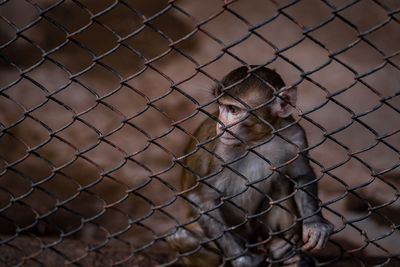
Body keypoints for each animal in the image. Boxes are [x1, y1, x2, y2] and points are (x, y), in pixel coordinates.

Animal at [166, 66, 334, 266]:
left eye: (233, 109)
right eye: (221, 106)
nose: (220, 126)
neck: (257, 140)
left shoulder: (295, 136)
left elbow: (301, 175)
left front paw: (315, 224)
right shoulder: (219, 150)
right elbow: (201, 199)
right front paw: (244, 260)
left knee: (281, 182)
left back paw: (283, 253)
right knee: (181, 237)